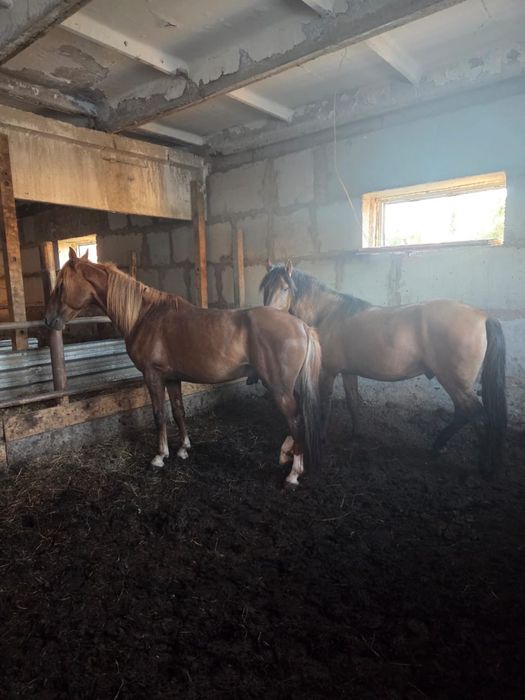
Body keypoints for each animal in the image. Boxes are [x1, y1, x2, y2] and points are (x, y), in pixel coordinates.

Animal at [44, 248, 322, 487]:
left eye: (61, 285)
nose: (48, 320)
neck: (144, 315)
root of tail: (302, 326)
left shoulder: (153, 376)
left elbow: (159, 415)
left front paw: (159, 456)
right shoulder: (172, 378)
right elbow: (178, 412)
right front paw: (183, 449)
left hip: (280, 390)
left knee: (295, 420)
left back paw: (293, 473)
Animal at [260, 261, 507, 475]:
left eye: (285, 288)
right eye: (265, 288)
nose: (267, 317)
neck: (326, 313)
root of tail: (483, 317)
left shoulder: (328, 372)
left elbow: (325, 405)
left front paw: (321, 436)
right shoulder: (349, 372)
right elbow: (353, 401)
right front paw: (356, 433)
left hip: (455, 383)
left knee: (477, 416)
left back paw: (482, 466)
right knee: (464, 414)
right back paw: (438, 447)